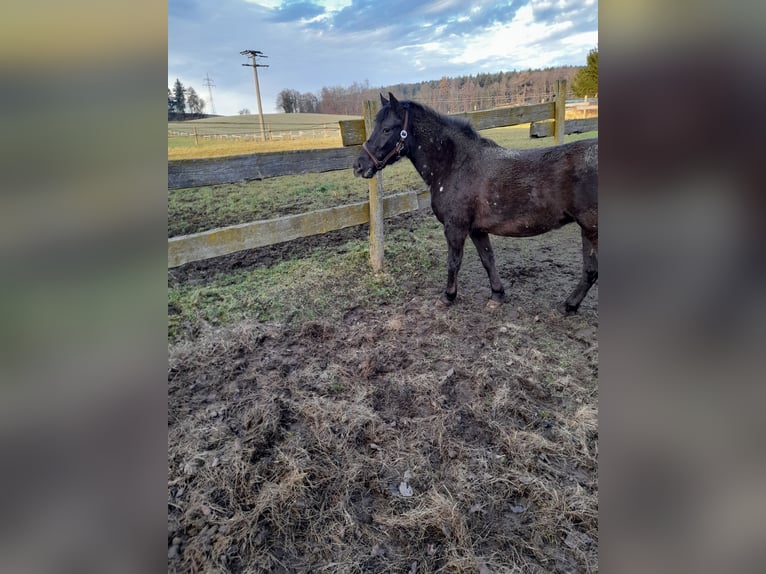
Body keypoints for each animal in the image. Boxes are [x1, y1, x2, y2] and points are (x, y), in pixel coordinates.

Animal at [353, 92, 598, 315]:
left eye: (387, 129)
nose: (359, 165)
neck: (456, 164)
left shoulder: (455, 228)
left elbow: (454, 262)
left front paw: (448, 297)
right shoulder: (476, 229)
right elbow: (488, 259)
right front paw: (497, 296)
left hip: (590, 229)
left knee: (591, 271)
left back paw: (569, 305)